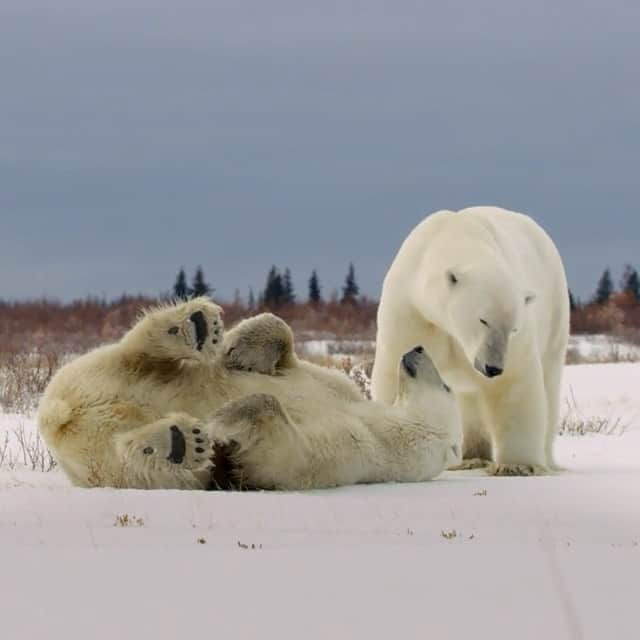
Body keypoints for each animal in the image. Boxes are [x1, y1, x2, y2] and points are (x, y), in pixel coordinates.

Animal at [38, 298, 460, 490]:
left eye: (448, 385)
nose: (417, 348)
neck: (385, 422)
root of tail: (62, 420)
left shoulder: (363, 450)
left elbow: (288, 456)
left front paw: (223, 419)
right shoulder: (337, 387)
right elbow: (286, 348)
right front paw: (239, 349)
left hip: (107, 467)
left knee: (137, 463)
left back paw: (176, 442)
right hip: (94, 370)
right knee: (136, 353)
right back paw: (194, 326)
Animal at [370, 206, 568, 476]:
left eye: (513, 329)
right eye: (483, 320)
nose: (493, 368)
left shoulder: (519, 341)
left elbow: (516, 385)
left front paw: (517, 465)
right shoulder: (411, 310)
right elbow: (393, 369)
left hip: (555, 313)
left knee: (549, 383)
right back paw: (470, 458)